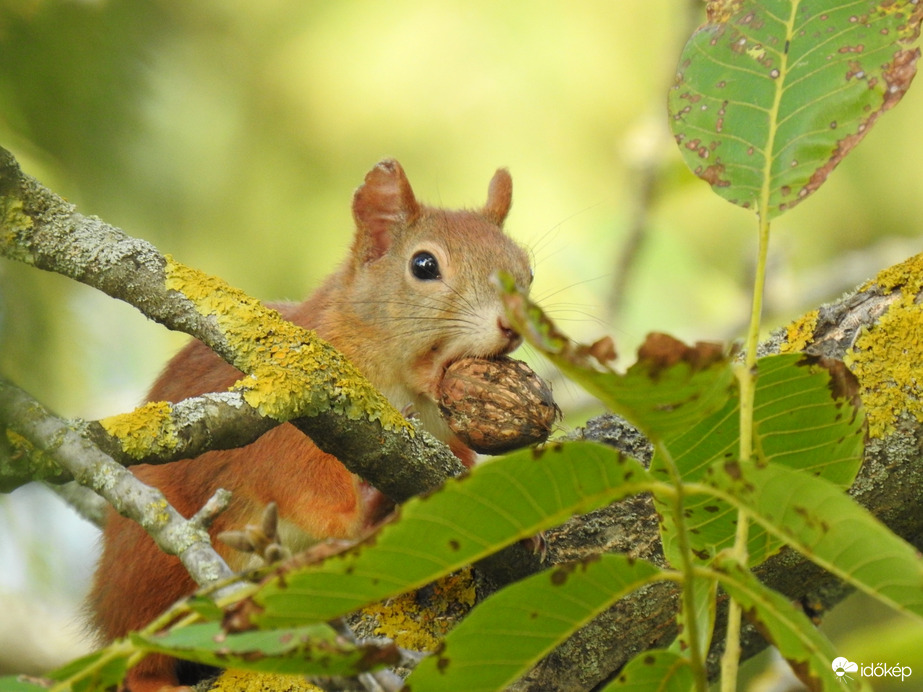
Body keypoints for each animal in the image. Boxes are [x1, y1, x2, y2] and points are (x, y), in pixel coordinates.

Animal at [88, 159, 536, 688]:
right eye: (424, 266)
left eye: (527, 271)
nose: (513, 324)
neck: (411, 390)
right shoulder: (292, 425)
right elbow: (304, 489)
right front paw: (360, 516)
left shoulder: (448, 438)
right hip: (149, 567)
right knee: (139, 645)